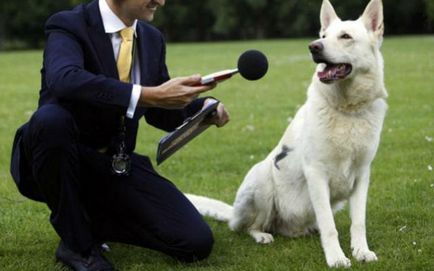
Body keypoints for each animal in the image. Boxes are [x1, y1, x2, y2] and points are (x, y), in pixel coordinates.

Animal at [186, 0, 386, 268]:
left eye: (345, 36)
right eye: (323, 37)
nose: (313, 47)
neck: (347, 111)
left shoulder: (362, 175)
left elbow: (358, 222)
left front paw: (361, 251)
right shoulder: (316, 173)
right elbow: (330, 227)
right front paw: (336, 257)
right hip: (262, 178)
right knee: (249, 226)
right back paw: (262, 235)